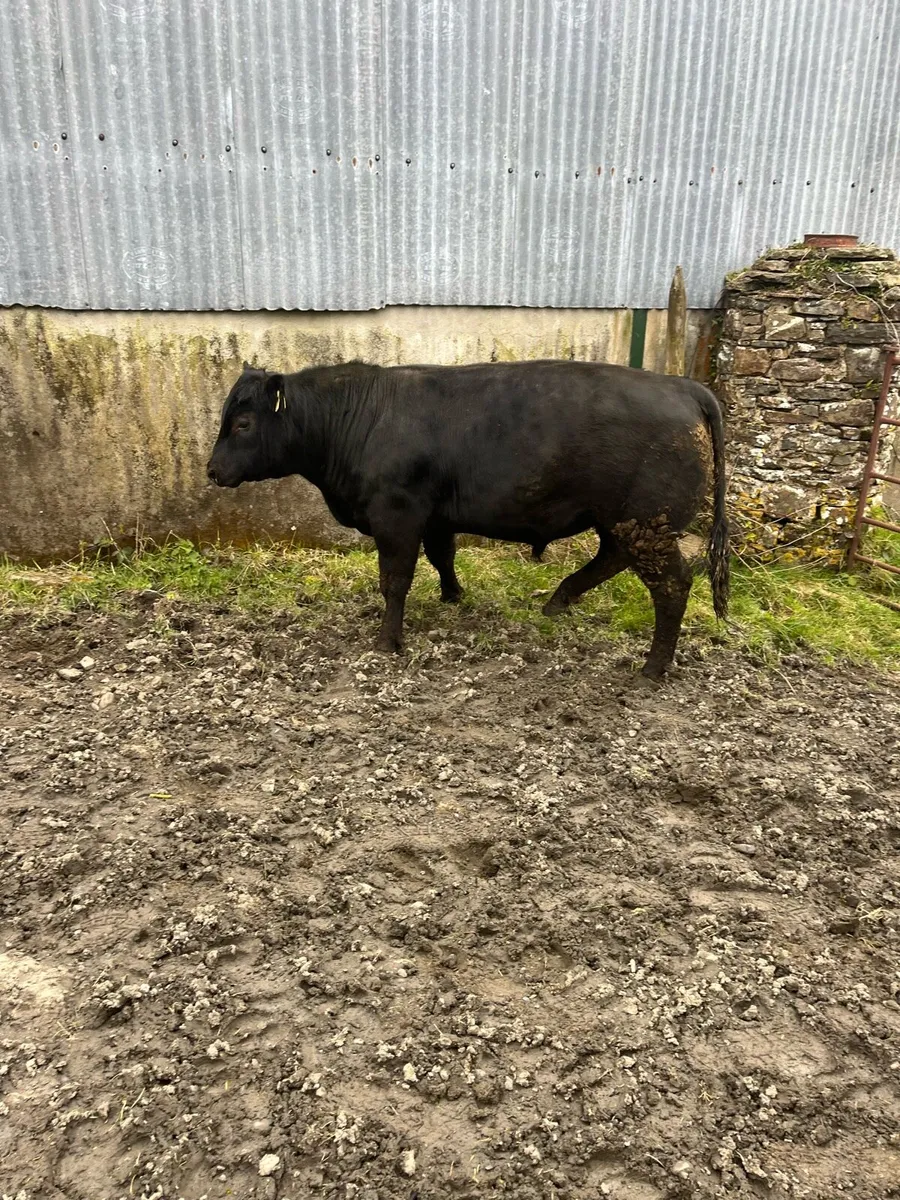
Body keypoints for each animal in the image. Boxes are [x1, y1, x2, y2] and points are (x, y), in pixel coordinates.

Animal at [206, 359, 729, 679]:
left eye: (243, 424)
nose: (211, 470)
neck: (360, 418)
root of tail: (683, 386)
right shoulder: (436, 518)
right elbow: (443, 557)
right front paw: (453, 596)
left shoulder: (396, 516)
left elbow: (395, 580)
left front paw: (388, 641)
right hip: (624, 521)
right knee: (611, 560)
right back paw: (559, 601)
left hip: (647, 523)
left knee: (672, 585)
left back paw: (652, 668)